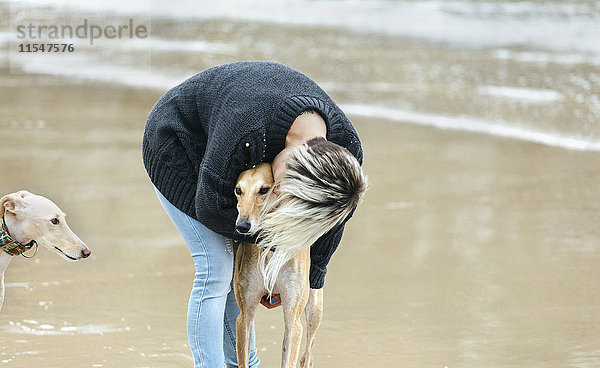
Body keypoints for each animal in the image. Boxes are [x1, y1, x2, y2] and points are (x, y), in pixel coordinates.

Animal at [233, 164, 324, 368]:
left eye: (264, 190)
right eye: (238, 190)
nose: (242, 226)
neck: (270, 251)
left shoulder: (293, 322)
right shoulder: (244, 316)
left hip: (314, 308)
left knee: (307, 356)